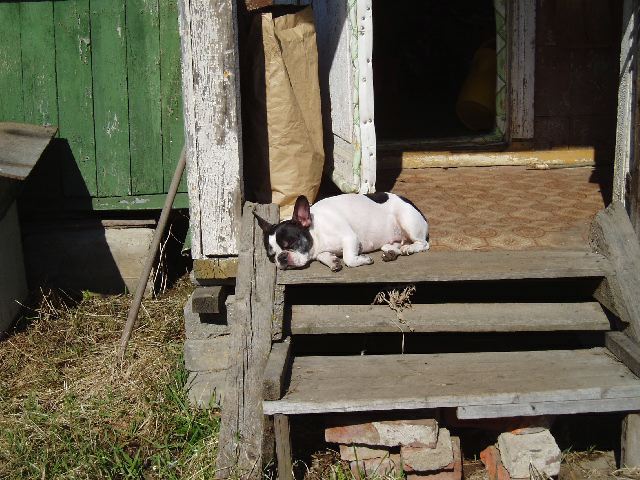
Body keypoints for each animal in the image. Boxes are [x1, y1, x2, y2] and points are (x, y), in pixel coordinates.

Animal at [254, 192, 429, 271]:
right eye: (271, 256)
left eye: (291, 243)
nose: (281, 258)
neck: (317, 231)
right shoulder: (320, 250)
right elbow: (324, 256)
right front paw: (332, 261)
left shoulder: (350, 238)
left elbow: (348, 258)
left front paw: (362, 259)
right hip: (390, 240)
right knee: (393, 246)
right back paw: (392, 253)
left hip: (408, 221)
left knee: (423, 244)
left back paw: (410, 248)